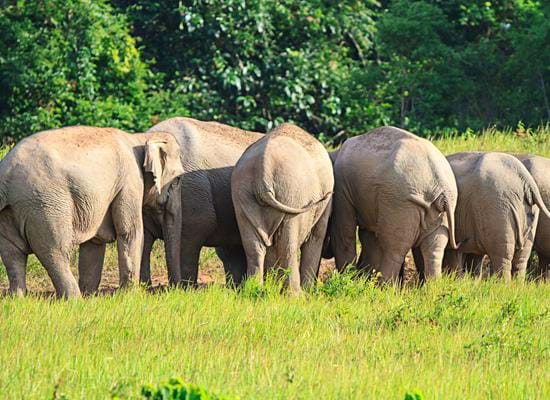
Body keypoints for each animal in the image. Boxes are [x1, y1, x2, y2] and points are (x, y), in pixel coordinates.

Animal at [0, 126, 185, 298]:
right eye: (177, 179)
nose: (175, 289)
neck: (140, 138)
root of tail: (6, 173)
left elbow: (95, 243)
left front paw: (90, 295)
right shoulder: (130, 182)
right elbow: (130, 232)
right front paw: (130, 296)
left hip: (10, 211)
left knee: (12, 254)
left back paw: (18, 298)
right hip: (46, 205)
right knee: (55, 251)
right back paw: (74, 300)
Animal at [141, 117, 264, 286]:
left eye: (177, 181)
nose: (173, 287)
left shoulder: (192, 196)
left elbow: (189, 237)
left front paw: (185, 289)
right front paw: (141, 289)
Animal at [232, 123, 334, 292]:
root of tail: (264, 168)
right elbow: (316, 235)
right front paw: (309, 292)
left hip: (242, 196)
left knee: (253, 245)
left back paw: (253, 290)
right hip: (292, 193)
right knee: (288, 244)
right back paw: (295, 295)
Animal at [444, 151, 550, 282]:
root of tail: (525, 179)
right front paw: (471, 282)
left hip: (498, 209)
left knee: (502, 255)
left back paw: (502, 284)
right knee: (522, 257)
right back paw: (518, 284)